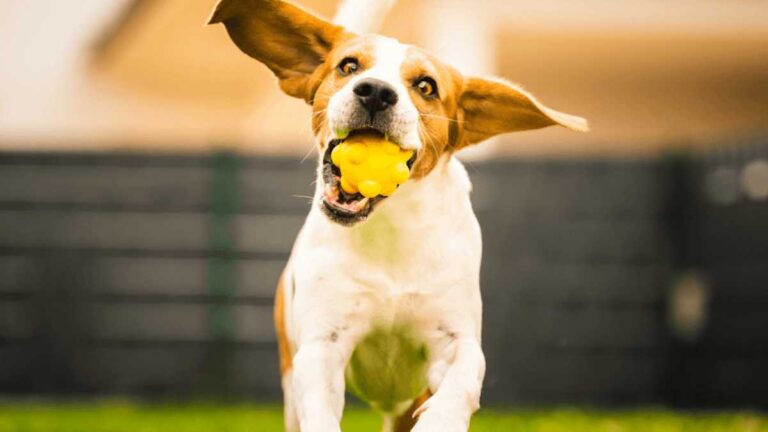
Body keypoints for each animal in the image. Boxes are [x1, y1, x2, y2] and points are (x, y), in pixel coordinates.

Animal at [207, 1, 584, 430]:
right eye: (349, 66)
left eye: (426, 86)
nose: (375, 91)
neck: (389, 229)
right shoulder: (322, 346)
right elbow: (319, 400)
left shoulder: (454, 340)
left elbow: (462, 380)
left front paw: (441, 420)